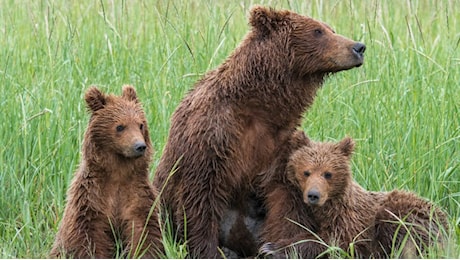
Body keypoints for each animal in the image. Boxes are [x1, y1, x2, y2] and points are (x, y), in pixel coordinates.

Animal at [50, 85, 164, 258]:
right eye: (120, 126)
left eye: (140, 124)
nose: (140, 146)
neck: (118, 172)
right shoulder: (92, 197)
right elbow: (89, 234)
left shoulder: (137, 194)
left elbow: (144, 229)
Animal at [155, 5, 366, 256]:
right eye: (318, 31)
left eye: (330, 29)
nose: (358, 47)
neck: (259, 107)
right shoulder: (212, 134)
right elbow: (200, 196)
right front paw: (206, 249)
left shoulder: (279, 144)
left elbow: (284, 201)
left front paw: (278, 247)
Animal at [260, 136, 448, 258]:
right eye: (306, 172)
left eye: (328, 174)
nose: (313, 195)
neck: (325, 209)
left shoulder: (349, 220)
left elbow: (333, 240)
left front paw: (272, 248)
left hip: (407, 213)